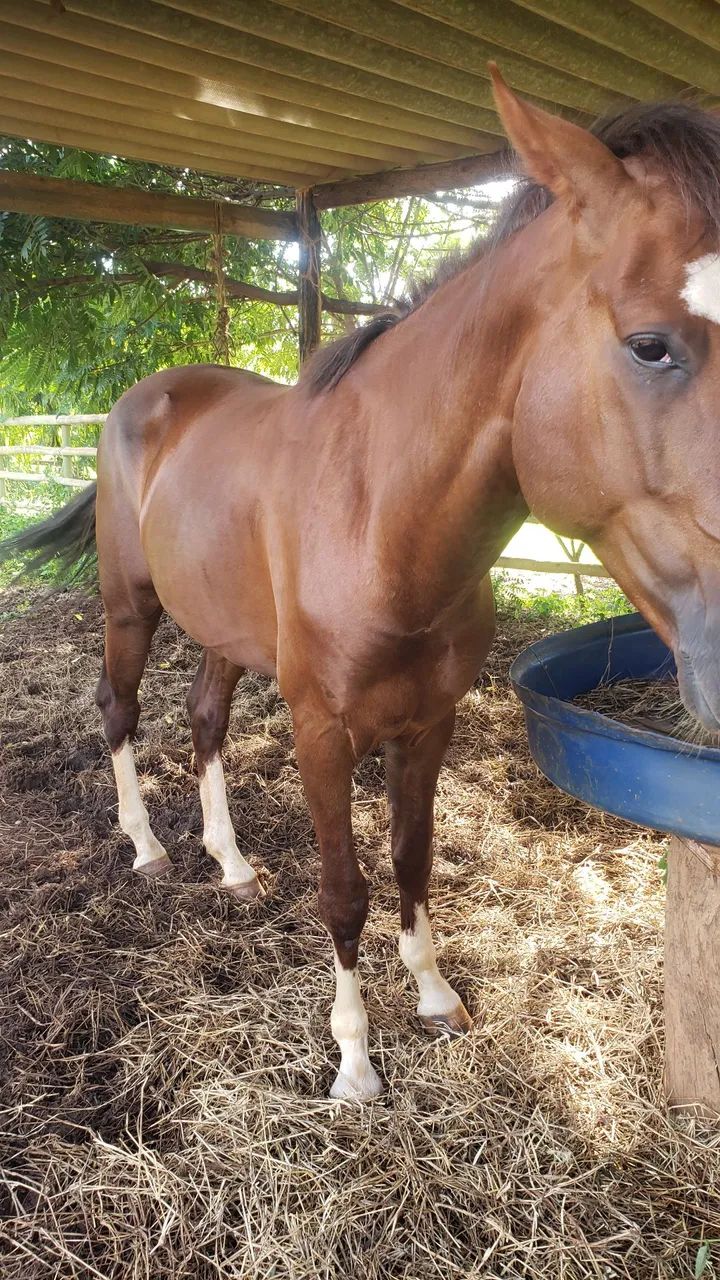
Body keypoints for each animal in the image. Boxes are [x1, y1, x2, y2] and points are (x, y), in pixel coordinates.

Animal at [4, 68, 720, 1101]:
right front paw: (352, 1058)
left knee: (204, 718)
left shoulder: (429, 725)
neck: (380, 520)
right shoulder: (321, 732)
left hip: (225, 633)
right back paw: (146, 846)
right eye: (651, 345)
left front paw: (434, 996)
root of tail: (149, 396)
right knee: (118, 710)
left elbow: (412, 861)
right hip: (129, 608)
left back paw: (230, 863)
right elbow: (345, 890)